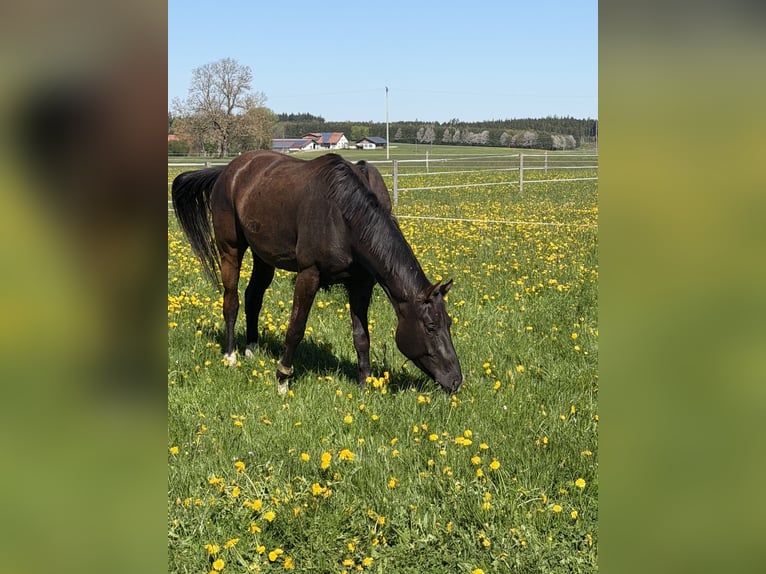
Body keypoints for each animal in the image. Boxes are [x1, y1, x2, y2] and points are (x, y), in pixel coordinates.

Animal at [171, 151, 463, 394]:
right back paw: (231, 355)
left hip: (263, 256)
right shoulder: (308, 275)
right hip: (230, 248)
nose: (456, 380)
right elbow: (296, 328)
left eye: (448, 323)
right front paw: (282, 378)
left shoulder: (361, 283)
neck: (344, 212)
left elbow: (361, 336)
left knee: (253, 296)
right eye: (431, 327)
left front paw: (364, 383)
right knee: (231, 300)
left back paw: (251, 348)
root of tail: (229, 171)